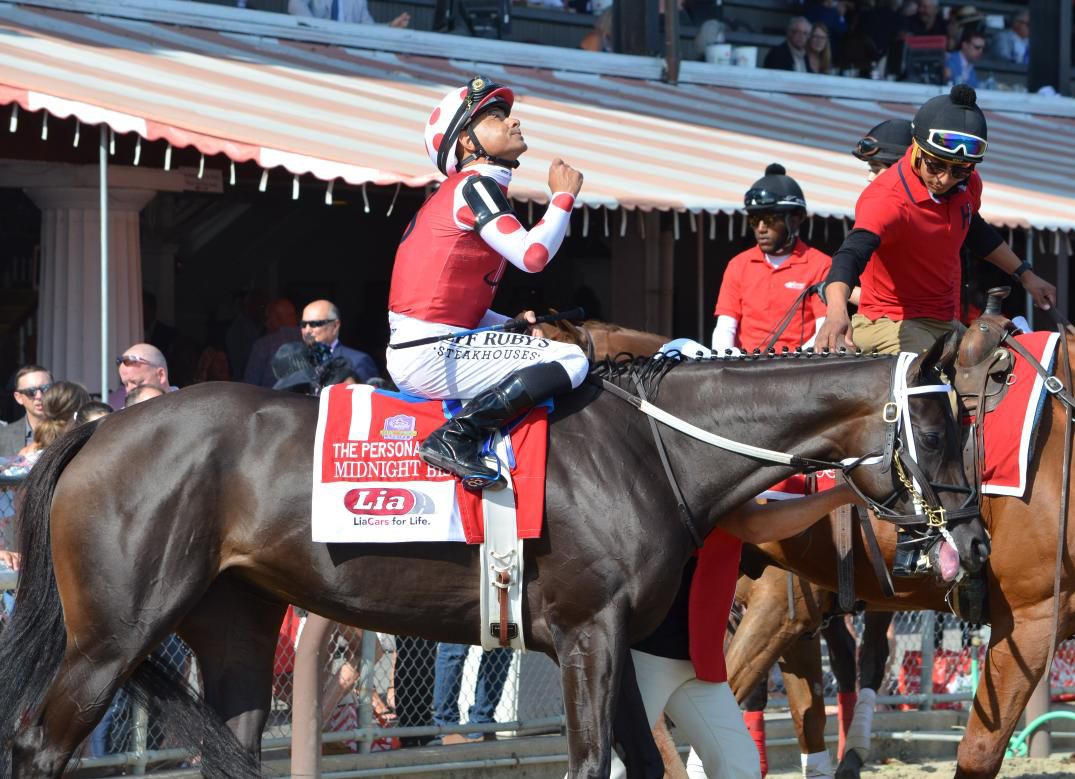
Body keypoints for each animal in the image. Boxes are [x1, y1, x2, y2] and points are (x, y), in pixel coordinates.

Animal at [0, 343, 976, 773]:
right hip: (113, 636)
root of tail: (98, 429)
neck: (653, 445)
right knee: (40, 740)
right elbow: (590, 761)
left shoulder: (610, 640)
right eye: (935, 429)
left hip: (234, 627)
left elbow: (642, 760)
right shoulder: (586, 637)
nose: (966, 540)